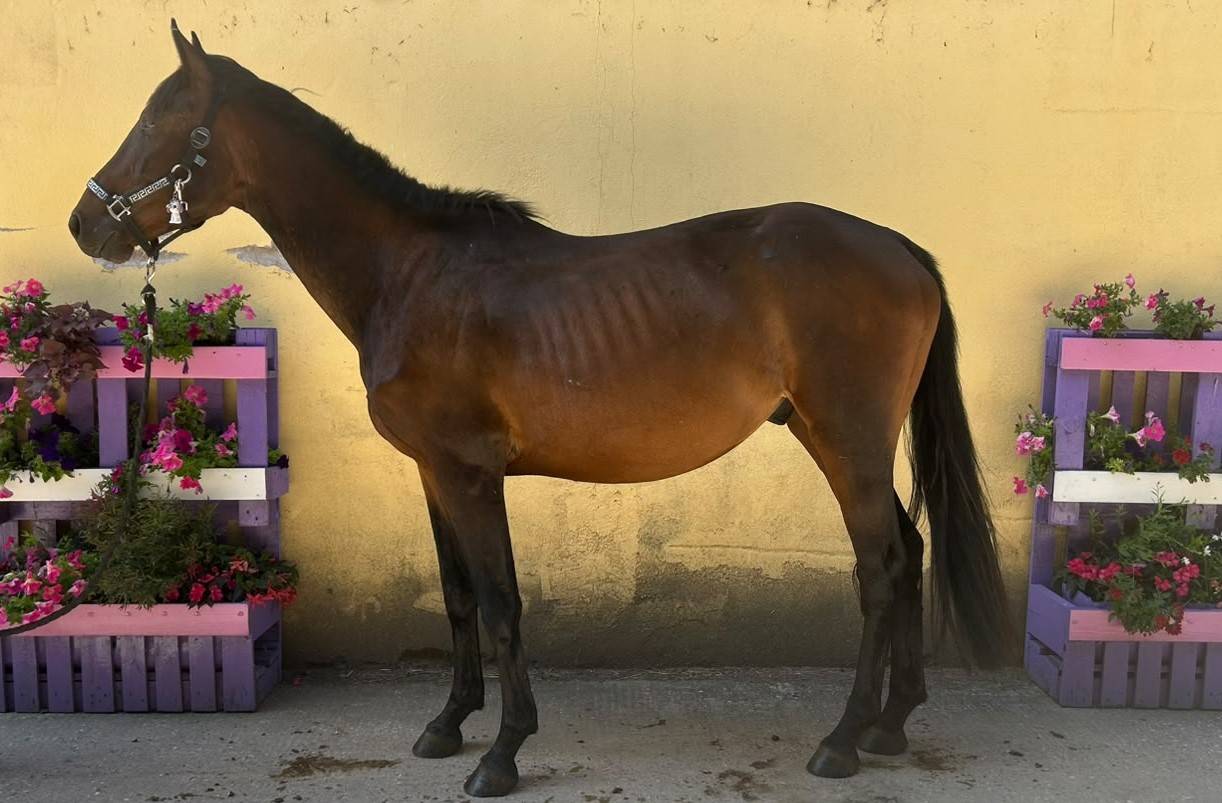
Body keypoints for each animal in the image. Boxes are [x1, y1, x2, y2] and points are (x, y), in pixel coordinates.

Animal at [68, 23, 1009, 798]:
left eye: (157, 122)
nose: (85, 223)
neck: (409, 275)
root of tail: (899, 246)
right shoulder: (434, 471)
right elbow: (458, 596)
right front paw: (449, 724)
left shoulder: (471, 472)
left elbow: (501, 600)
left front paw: (502, 751)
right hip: (839, 439)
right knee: (909, 551)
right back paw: (892, 724)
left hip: (846, 440)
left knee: (881, 569)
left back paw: (844, 739)